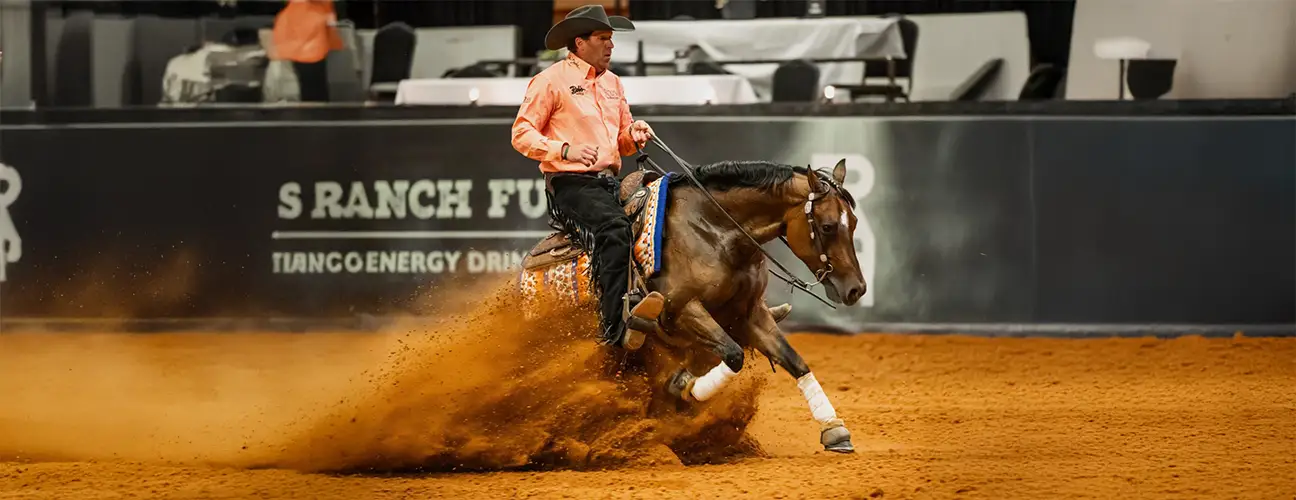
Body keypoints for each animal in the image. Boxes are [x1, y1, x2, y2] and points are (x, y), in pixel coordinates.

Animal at [517, 156, 865, 454]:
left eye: (854, 222)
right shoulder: (680, 310)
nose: (856, 289)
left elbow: (795, 361)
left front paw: (834, 429)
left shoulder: (749, 314)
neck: (714, 231)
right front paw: (686, 385)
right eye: (828, 226)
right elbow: (733, 355)